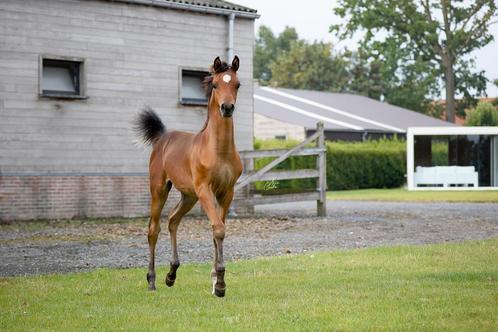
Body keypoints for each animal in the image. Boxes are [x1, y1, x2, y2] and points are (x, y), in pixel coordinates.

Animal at [134, 55, 243, 296]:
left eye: (237, 85)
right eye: (215, 85)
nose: (227, 107)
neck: (219, 150)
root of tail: (162, 137)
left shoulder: (227, 192)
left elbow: (217, 230)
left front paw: (215, 280)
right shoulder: (205, 190)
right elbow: (218, 229)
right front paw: (220, 283)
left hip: (189, 196)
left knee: (173, 220)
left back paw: (171, 274)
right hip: (160, 189)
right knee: (153, 229)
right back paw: (152, 280)